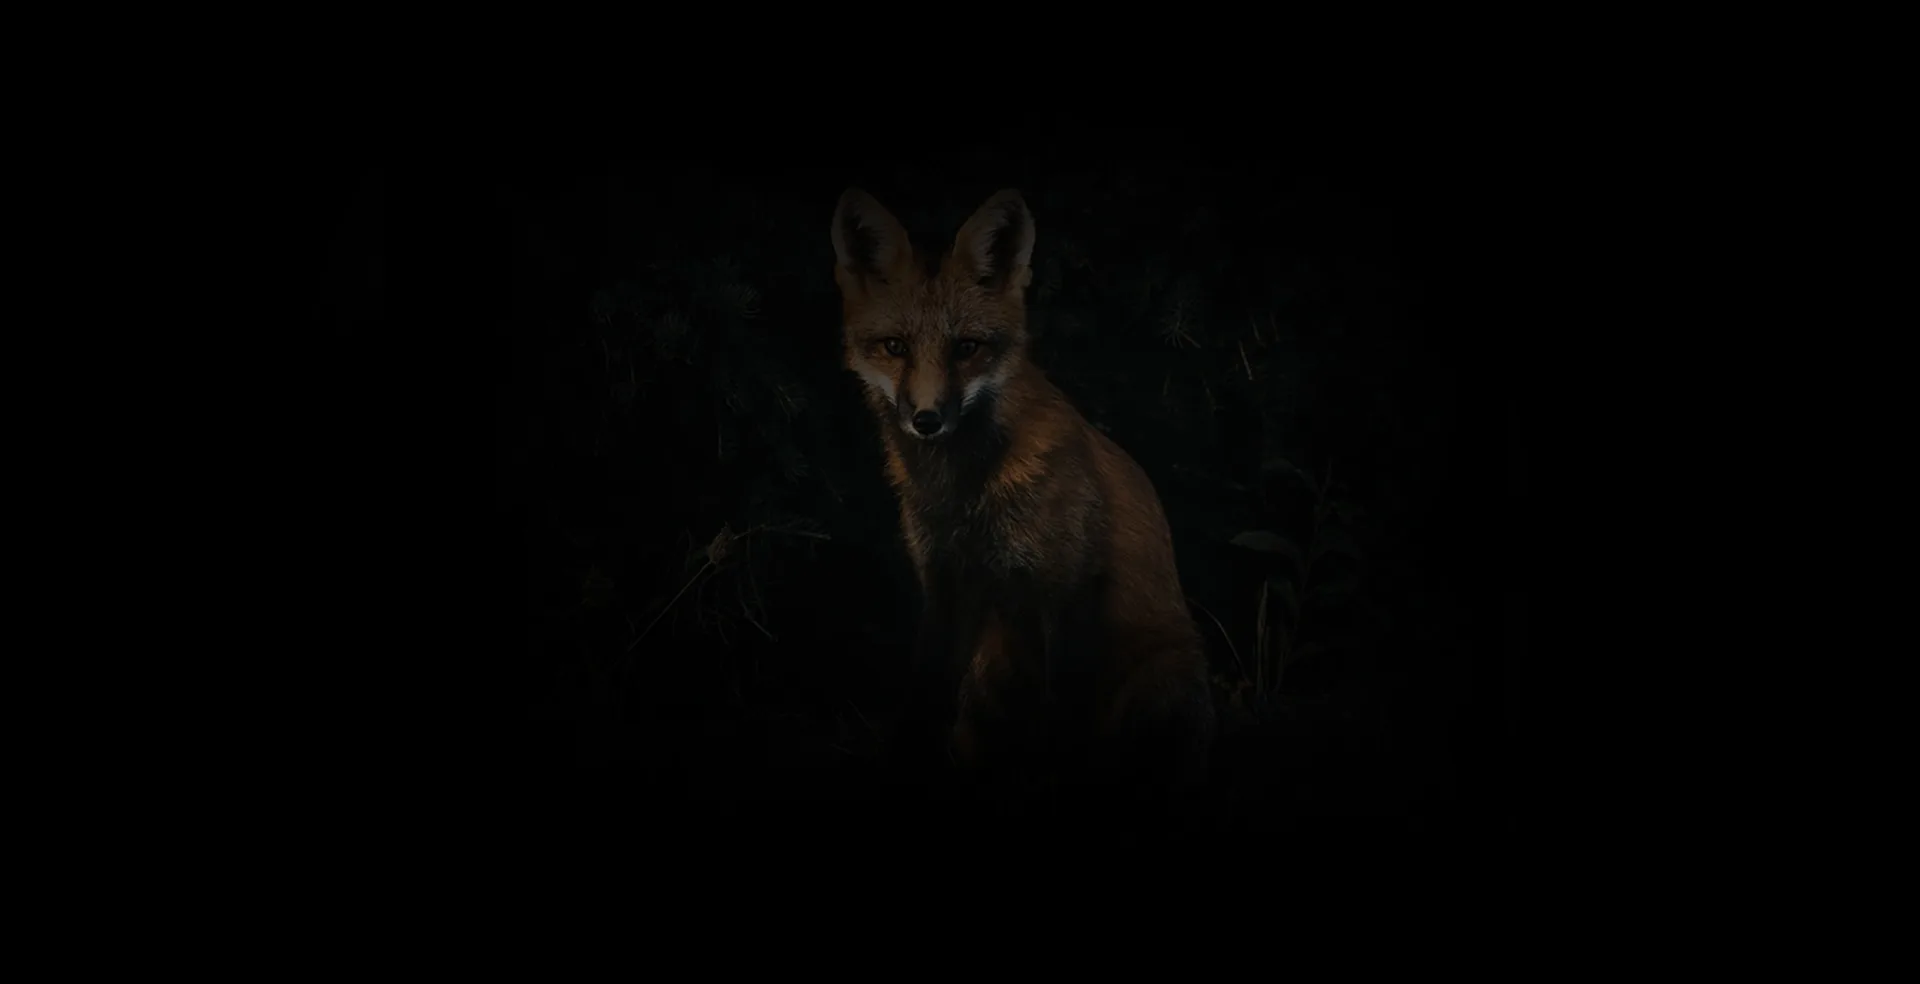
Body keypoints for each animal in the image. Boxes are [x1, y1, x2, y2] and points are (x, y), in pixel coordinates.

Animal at [830, 187, 1216, 805]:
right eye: (894, 347)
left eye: (967, 347)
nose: (927, 420)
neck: (966, 495)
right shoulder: (945, 583)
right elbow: (924, 695)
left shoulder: (1067, 590)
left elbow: (1062, 727)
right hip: (989, 670)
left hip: (1161, 680)